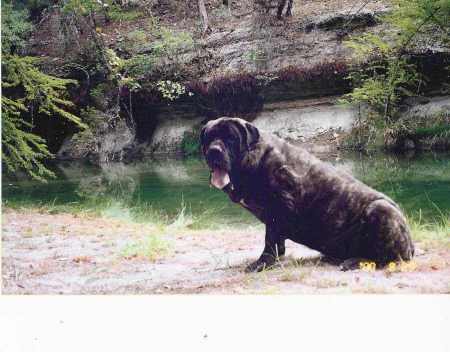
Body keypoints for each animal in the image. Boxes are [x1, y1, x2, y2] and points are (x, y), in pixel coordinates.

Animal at [200, 117, 414, 270]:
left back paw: (355, 262)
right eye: (209, 138)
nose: (214, 150)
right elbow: (276, 240)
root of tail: (411, 244)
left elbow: (270, 240)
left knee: (389, 258)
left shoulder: (278, 207)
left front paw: (263, 263)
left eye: (230, 138)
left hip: (381, 209)